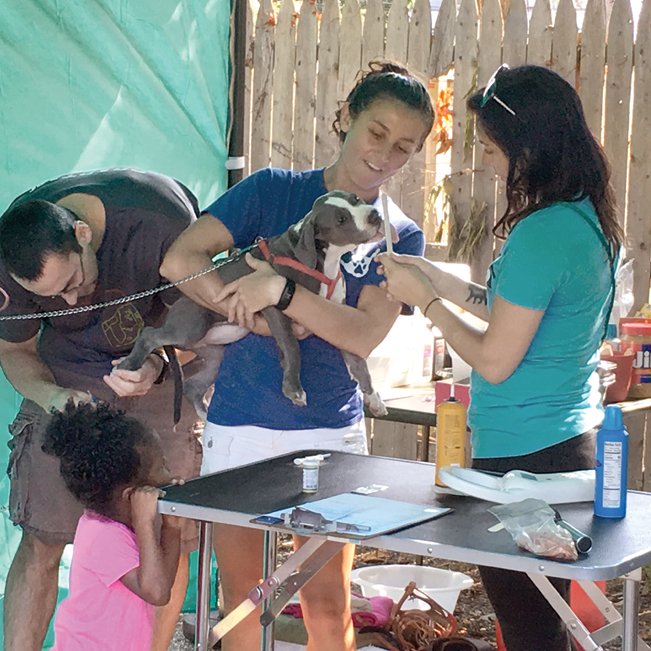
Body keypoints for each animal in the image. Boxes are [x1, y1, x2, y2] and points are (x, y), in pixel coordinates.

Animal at [118, 191, 388, 420]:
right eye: (341, 219)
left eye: (355, 199)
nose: (375, 215)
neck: (323, 261)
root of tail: (173, 310)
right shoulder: (274, 307)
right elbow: (292, 347)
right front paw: (293, 389)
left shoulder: (337, 317)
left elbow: (357, 361)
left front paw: (373, 397)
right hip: (190, 326)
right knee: (149, 334)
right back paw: (129, 364)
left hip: (215, 351)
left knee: (193, 385)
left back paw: (205, 413)